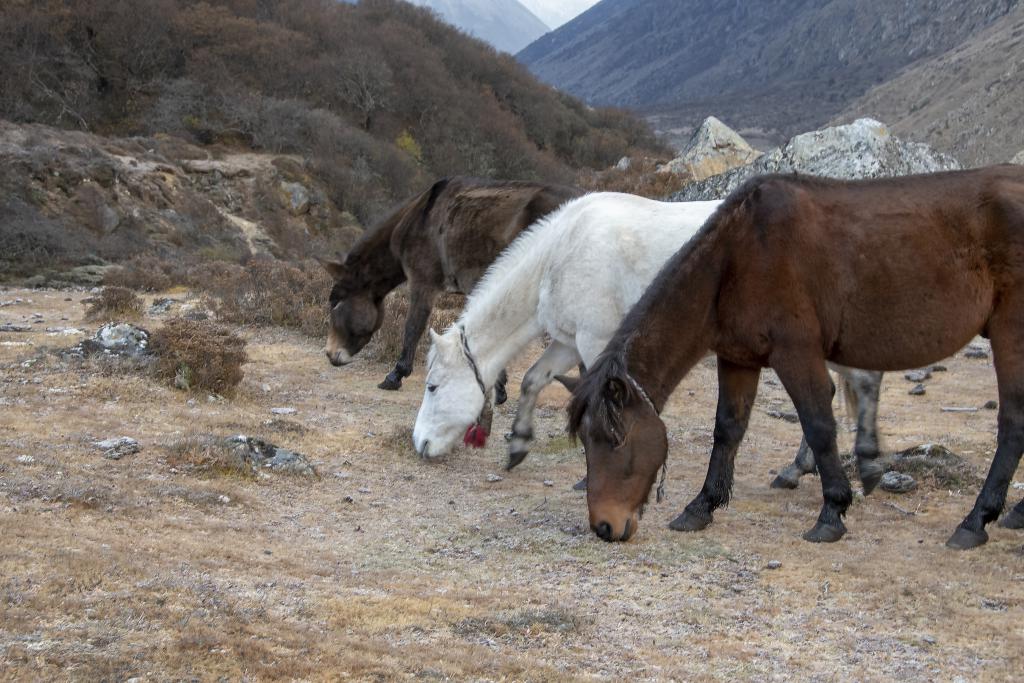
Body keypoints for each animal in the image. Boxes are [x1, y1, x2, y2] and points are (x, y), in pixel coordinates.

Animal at [319, 176, 581, 395]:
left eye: (334, 302)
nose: (330, 354)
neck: (413, 220)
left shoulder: (423, 283)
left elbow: (413, 327)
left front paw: (395, 376)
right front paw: (498, 385)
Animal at [411, 189, 884, 483]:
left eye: (432, 386)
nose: (420, 444)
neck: (560, 253)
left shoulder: (595, 341)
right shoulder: (568, 340)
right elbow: (532, 380)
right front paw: (519, 445)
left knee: (855, 384)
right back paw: (804, 469)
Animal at [565, 165, 1024, 548]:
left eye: (616, 439)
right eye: (585, 442)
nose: (604, 526)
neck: (738, 256)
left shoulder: (796, 353)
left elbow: (818, 425)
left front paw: (832, 511)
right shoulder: (739, 358)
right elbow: (727, 430)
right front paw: (701, 506)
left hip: (1011, 333)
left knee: (1013, 424)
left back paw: (975, 521)